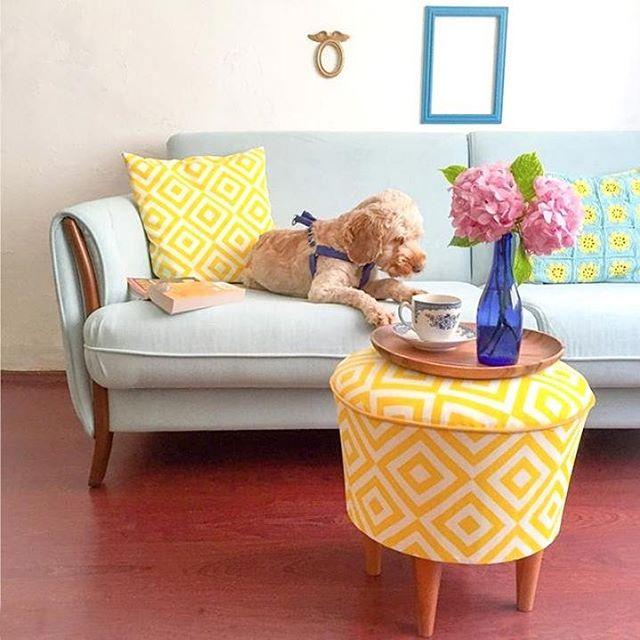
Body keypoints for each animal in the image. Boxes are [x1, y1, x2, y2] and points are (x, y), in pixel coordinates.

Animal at [243, 189, 427, 326]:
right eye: (399, 238)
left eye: (418, 237)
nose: (419, 267)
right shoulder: (321, 289)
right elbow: (356, 293)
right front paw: (379, 311)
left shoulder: (368, 284)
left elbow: (389, 283)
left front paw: (411, 292)